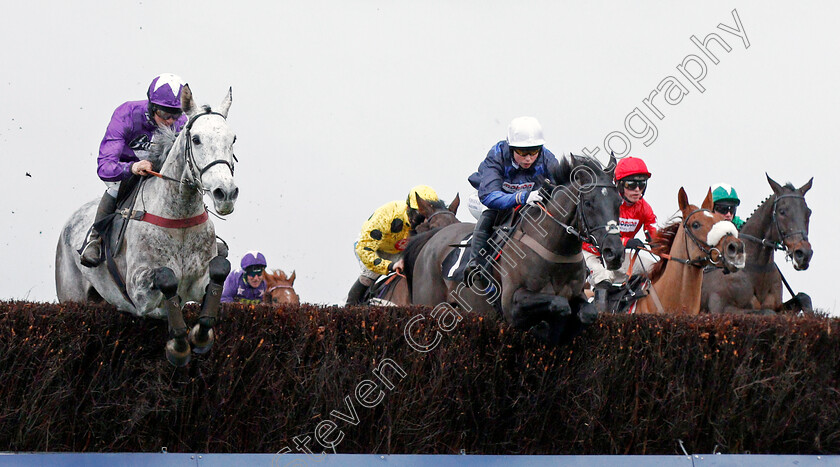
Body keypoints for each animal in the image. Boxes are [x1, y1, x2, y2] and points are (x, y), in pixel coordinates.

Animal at [55, 86, 240, 368]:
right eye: (196, 139)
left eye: (233, 139)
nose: (226, 193)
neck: (178, 218)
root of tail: (69, 222)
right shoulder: (139, 292)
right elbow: (166, 278)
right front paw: (179, 345)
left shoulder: (198, 284)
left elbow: (220, 269)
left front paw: (200, 334)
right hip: (71, 296)